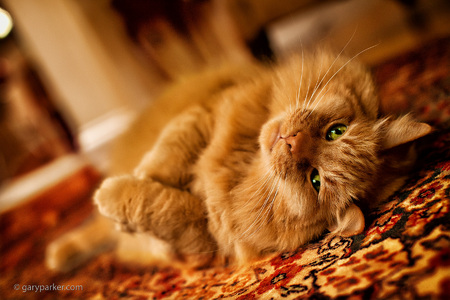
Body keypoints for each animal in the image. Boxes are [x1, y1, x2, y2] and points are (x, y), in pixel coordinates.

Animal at [46, 49, 432, 272]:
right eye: (335, 132)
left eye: (315, 179)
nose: (292, 142)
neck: (244, 161)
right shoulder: (205, 115)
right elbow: (167, 155)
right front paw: (145, 173)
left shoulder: (203, 239)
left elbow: (159, 204)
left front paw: (119, 198)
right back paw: (60, 254)